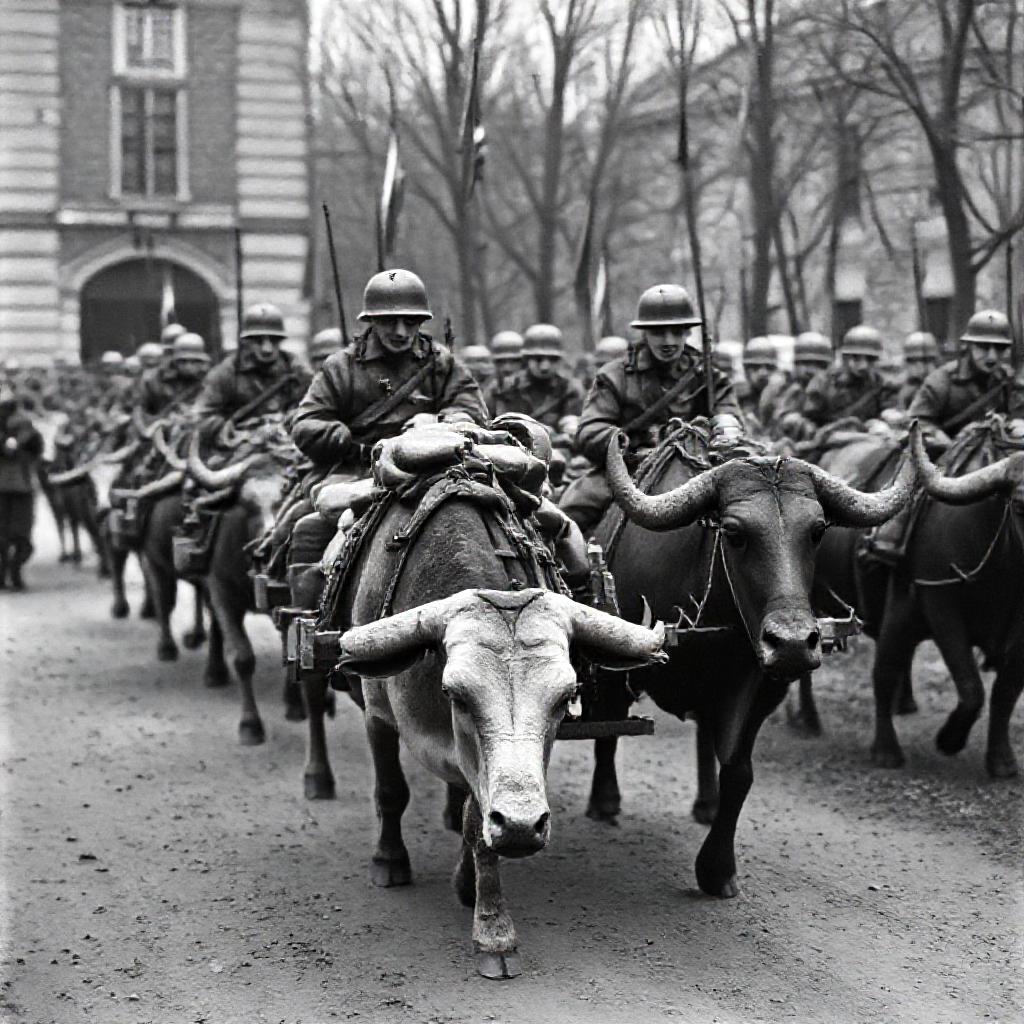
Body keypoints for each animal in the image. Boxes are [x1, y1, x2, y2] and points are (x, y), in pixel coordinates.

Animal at [319, 481, 666, 979]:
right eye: (456, 695)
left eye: (565, 695)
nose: (523, 825)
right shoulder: (378, 713)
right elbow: (391, 791)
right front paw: (390, 861)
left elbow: (475, 825)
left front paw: (484, 915)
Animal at [586, 423, 918, 899]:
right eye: (734, 532)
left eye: (817, 530)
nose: (793, 643)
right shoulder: (618, 666)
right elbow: (608, 728)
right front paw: (605, 800)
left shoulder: (762, 687)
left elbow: (739, 772)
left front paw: (717, 869)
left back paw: (706, 804)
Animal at [868, 423, 1024, 777]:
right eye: (1021, 502)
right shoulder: (941, 605)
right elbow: (971, 687)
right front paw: (950, 739)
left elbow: (1006, 691)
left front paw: (1002, 761)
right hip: (897, 616)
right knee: (884, 673)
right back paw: (885, 751)